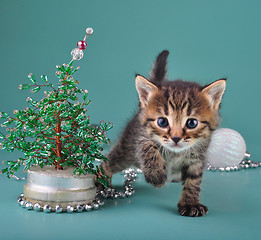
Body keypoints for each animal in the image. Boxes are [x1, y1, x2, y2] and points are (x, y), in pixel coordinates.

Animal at [100, 50, 224, 218]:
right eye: (162, 122)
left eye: (192, 123)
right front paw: (156, 174)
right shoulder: (140, 135)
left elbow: (193, 180)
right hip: (126, 149)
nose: (176, 138)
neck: (175, 153)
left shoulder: (198, 155)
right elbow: (148, 146)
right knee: (108, 162)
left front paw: (190, 203)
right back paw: (100, 181)